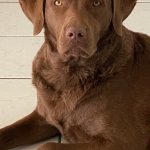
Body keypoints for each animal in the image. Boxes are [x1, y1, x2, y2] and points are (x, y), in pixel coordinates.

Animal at [0, 0, 150, 149]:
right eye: (58, 3)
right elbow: (5, 132)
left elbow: (47, 146)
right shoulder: (43, 116)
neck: (70, 75)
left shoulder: (124, 141)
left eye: (96, 3)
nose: (76, 33)